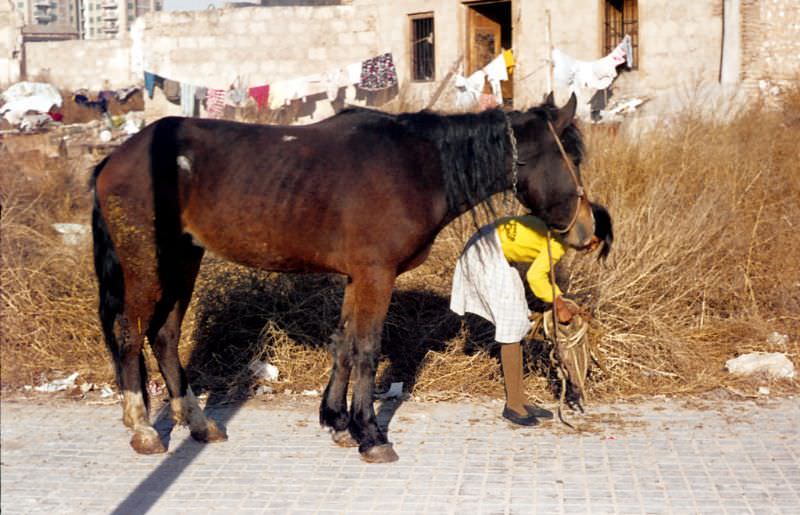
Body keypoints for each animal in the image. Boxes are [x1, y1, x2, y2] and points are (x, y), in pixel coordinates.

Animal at [92, 91, 592, 464]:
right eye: (571, 158)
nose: (587, 232)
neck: (419, 165)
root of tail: (116, 158)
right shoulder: (376, 275)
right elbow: (367, 348)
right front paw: (370, 434)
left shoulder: (358, 277)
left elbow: (345, 344)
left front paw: (338, 422)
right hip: (147, 265)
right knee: (132, 335)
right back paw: (143, 429)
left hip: (183, 262)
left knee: (165, 336)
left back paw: (198, 424)